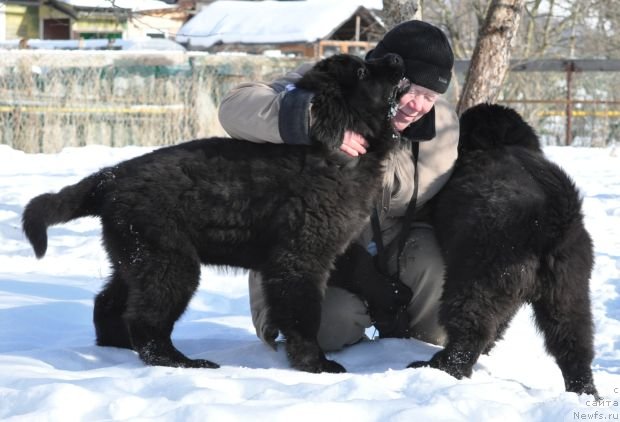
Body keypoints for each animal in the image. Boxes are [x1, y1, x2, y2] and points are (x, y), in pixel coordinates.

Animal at [21, 52, 404, 372]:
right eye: (362, 71)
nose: (396, 58)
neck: (336, 151)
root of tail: (111, 176)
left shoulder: (330, 246)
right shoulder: (299, 257)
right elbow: (303, 314)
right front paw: (315, 364)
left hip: (134, 258)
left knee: (108, 303)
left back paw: (116, 348)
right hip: (169, 264)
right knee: (147, 322)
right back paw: (183, 362)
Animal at [410, 104, 600, 398]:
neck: (499, 144)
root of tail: (552, 220)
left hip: (476, 281)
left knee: (469, 332)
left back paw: (438, 367)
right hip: (568, 293)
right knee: (574, 346)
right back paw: (584, 392)